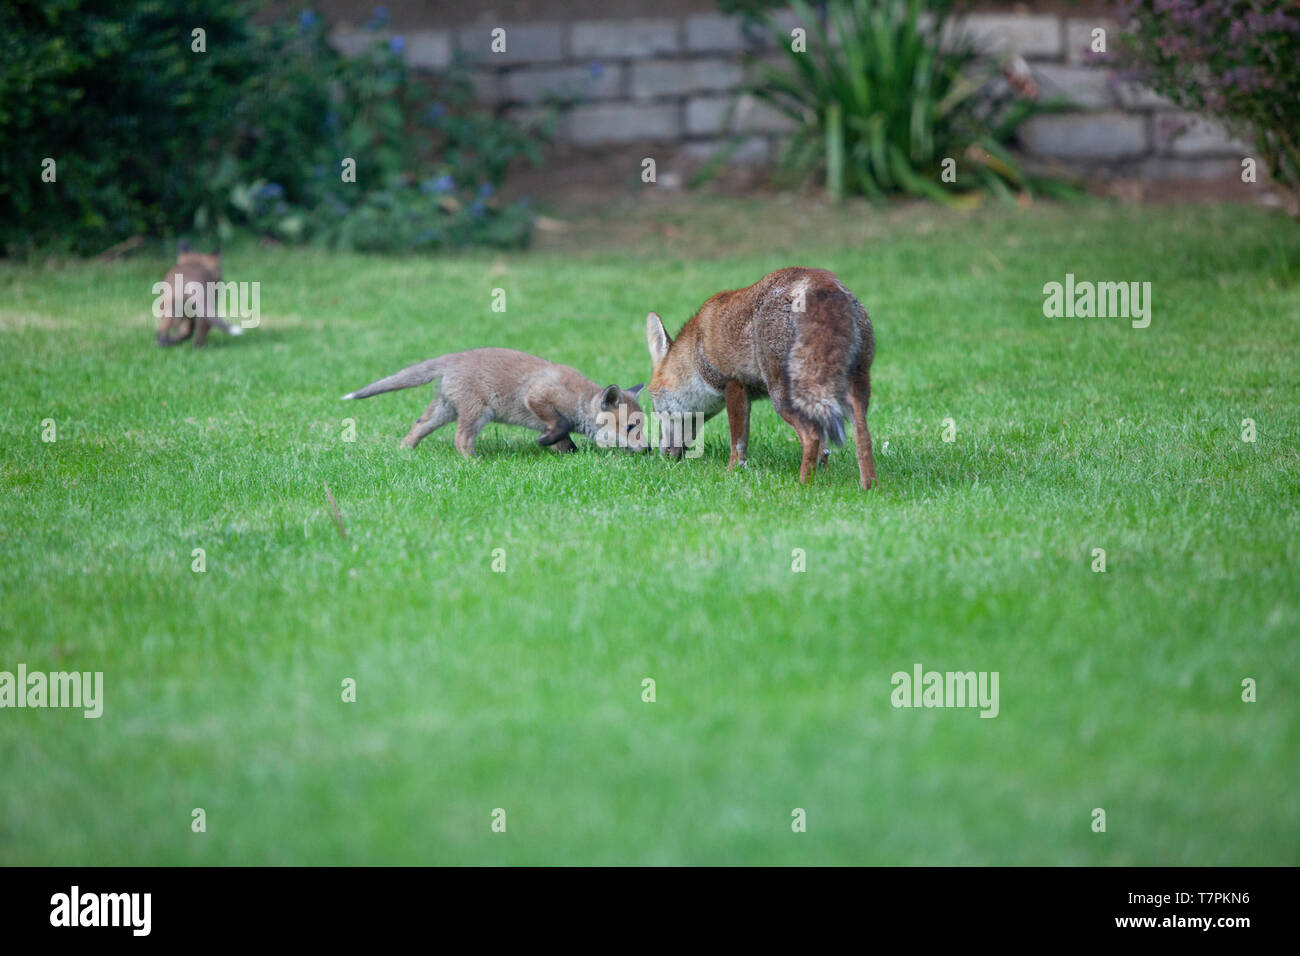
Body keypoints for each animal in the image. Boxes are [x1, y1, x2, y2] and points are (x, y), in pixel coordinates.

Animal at [647, 269, 878, 489]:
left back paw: (803, 486)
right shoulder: (749, 394)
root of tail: (825, 284)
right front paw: (823, 472)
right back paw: (869, 487)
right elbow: (824, 450)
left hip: (782, 396)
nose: (663, 455)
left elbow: (737, 444)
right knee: (863, 436)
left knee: (811, 437)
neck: (697, 344)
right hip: (855, 389)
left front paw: (731, 473)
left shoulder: (733, 384)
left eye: (656, 410)